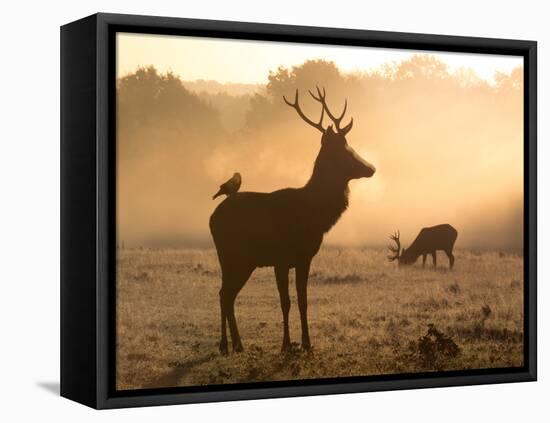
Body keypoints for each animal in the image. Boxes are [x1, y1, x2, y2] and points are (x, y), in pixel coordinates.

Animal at [209, 88, 378, 356]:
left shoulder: (305, 258)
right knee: (224, 293)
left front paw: (307, 343)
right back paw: (226, 345)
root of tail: (212, 217)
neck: (313, 215)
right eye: (345, 151)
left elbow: (303, 300)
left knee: (227, 294)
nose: (371, 168)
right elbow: (285, 301)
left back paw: (237, 344)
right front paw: (286, 345)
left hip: (243, 261)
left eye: (350, 146)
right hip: (230, 255)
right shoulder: (280, 259)